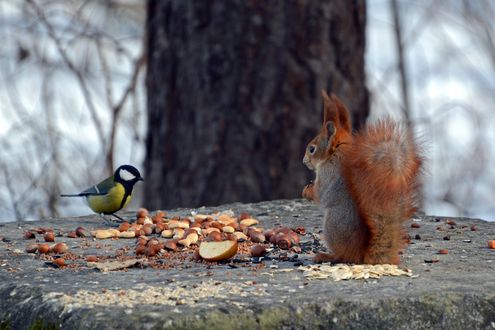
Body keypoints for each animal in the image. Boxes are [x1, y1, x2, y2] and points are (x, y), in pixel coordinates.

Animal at [302, 91, 422, 266]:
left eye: (312, 149)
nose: (304, 161)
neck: (335, 153)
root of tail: (362, 254)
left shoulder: (328, 174)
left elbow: (321, 193)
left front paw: (307, 191)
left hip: (332, 225)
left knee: (343, 256)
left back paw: (326, 255)